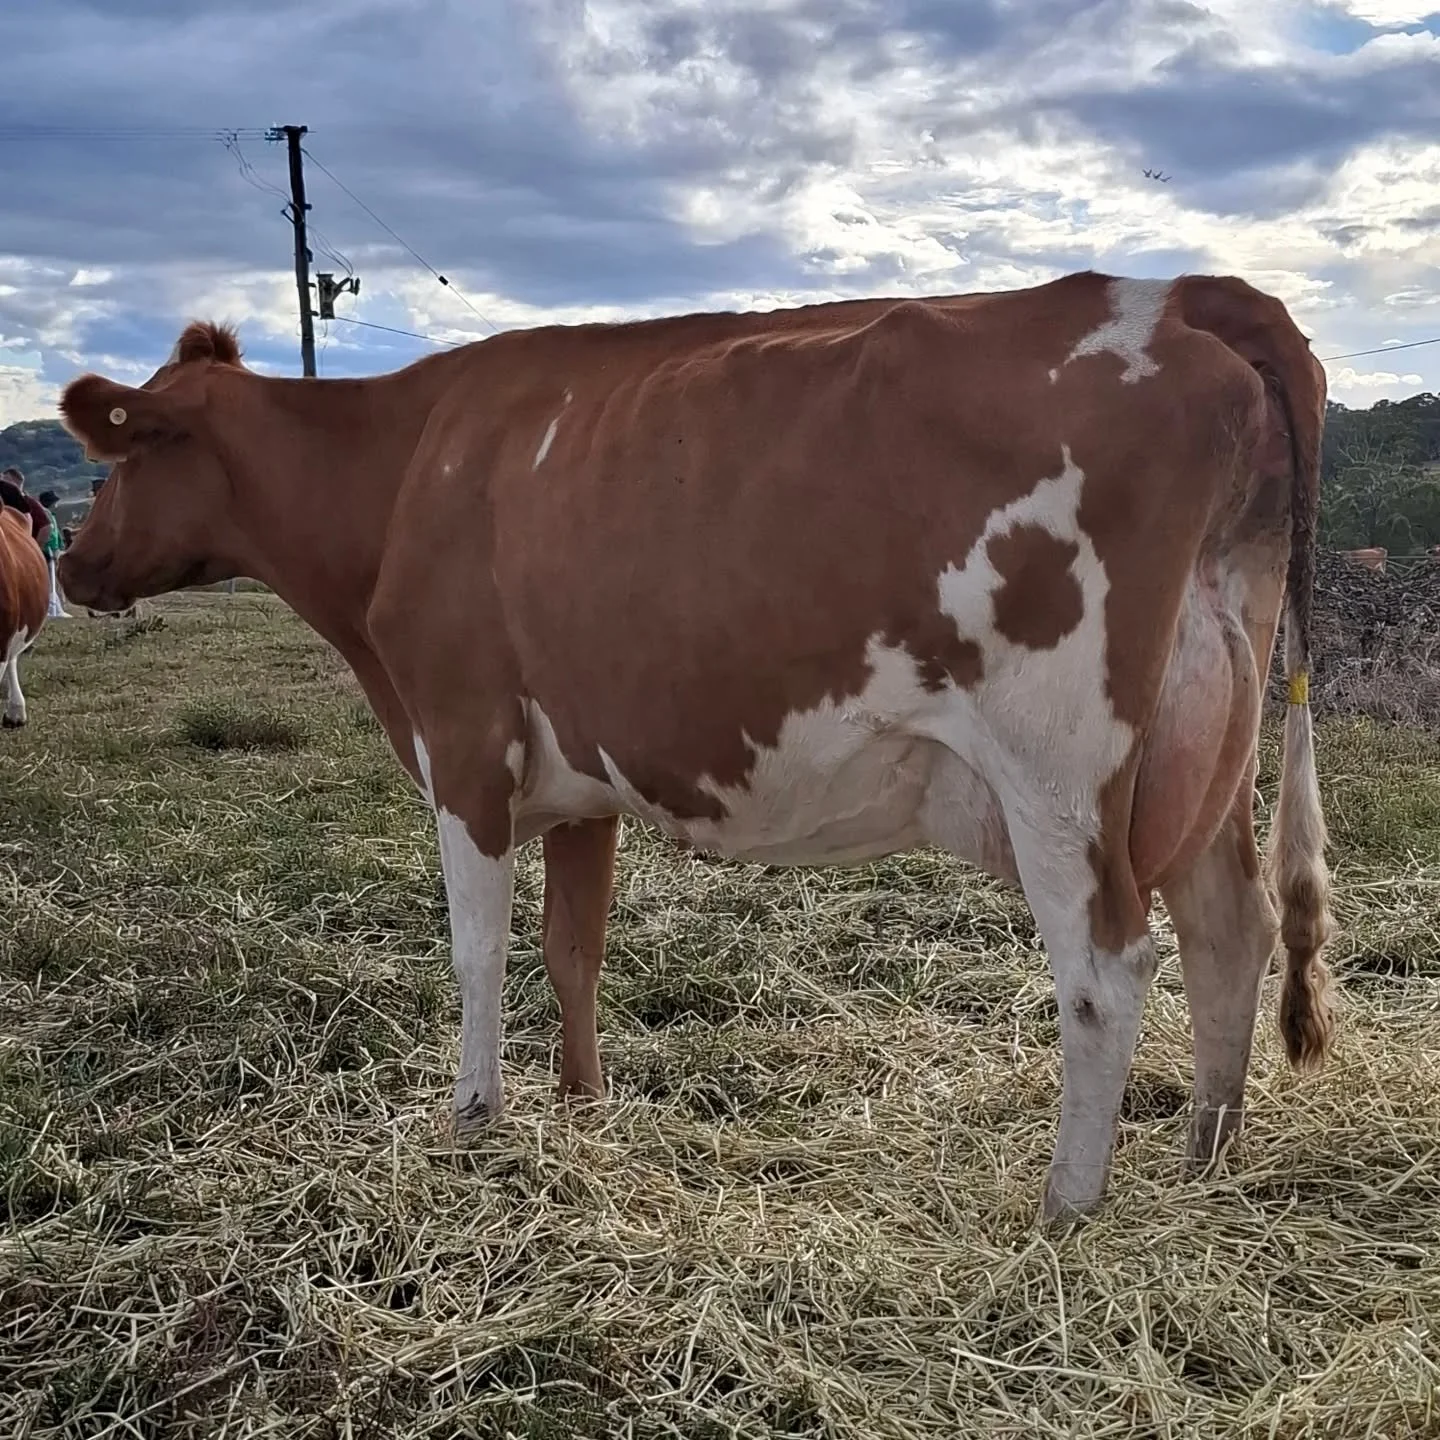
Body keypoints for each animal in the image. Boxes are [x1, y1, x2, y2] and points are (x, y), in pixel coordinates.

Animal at [57, 270, 1334, 1222]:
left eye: (121, 458)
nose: (70, 565)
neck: (408, 466)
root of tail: (1180, 294)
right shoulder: (577, 782)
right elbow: (574, 951)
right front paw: (579, 1113)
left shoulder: (463, 742)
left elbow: (476, 953)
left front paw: (474, 1122)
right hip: (1208, 732)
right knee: (1231, 926)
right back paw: (1205, 1160)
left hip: (1058, 766)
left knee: (1107, 969)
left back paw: (1066, 1210)